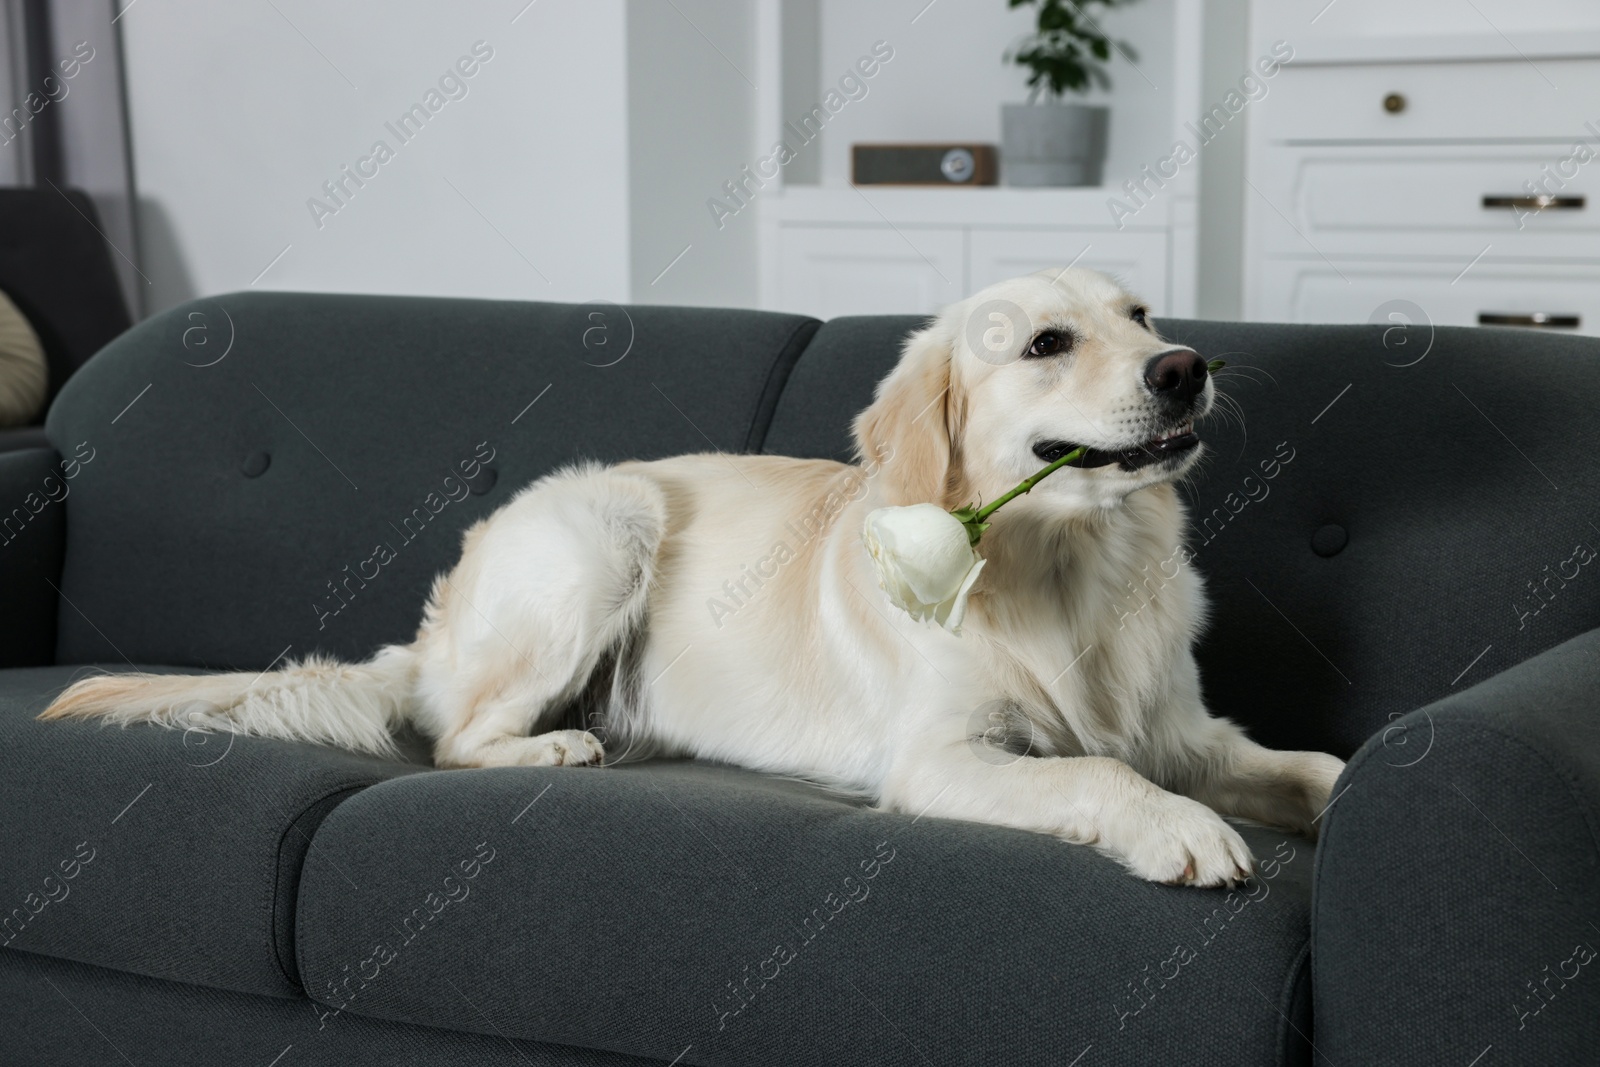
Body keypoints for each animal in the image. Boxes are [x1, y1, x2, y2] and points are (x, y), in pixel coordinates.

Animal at [43, 271, 1344, 889]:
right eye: (1045, 343)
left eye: (1142, 315)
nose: (1186, 367)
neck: (1073, 562)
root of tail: (438, 622)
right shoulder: (943, 758)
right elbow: (1097, 775)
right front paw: (1181, 830)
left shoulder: (1183, 728)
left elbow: (1310, 767)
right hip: (600, 522)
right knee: (453, 736)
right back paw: (556, 745)